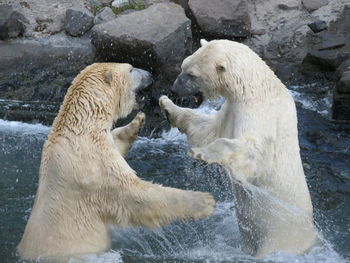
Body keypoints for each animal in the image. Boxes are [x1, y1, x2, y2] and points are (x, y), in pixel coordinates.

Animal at [18, 62, 216, 262]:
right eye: (131, 69)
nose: (150, 74)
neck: (81, 127)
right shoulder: (93, 166)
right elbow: (133, 194)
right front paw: (204, 201)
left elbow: (116, 142)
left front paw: (137, 122)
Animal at [159, 40, 318, 258]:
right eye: (183, 65)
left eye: (192, 74)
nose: (174, 89)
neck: (256, 88)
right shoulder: (232, 108)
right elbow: (207, 129)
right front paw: (166, 105)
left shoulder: (260, 114)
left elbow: (253, 152)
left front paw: (202, 153)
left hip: (281, 234)